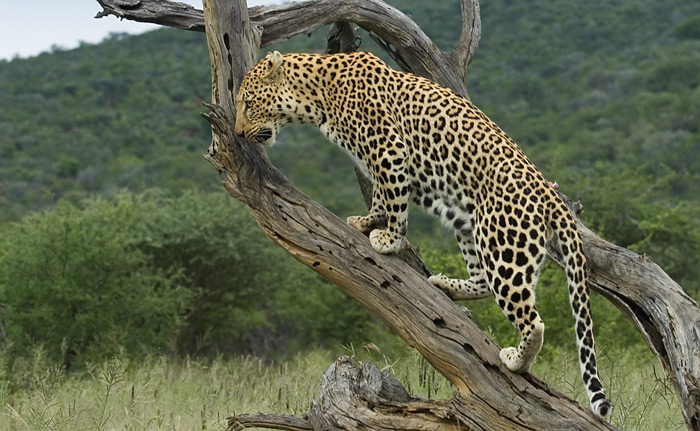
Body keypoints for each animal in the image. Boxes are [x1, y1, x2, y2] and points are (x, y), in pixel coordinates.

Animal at [234, 50, 612, 418]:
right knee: (483, 282)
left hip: (503, 246)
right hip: (470, 227)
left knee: (532, 320)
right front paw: (366, 221)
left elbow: (393, 199)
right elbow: (380, 196)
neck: (316, 94)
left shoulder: (388, 149)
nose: (237, 133)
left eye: (248, 103)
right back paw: (446, 284)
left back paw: (515, 360)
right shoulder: (377, 160)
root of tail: (552, 197)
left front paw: (388, 240)